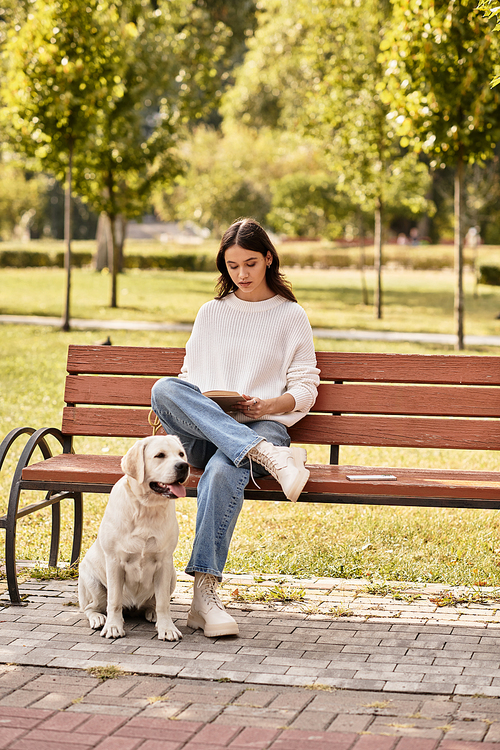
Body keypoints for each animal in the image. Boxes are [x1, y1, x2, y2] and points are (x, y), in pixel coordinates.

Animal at [78, 438, 189, 644]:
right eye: (160, 455)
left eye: (181, 454)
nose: (183, 466)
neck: (146, 508)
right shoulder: (114, 562)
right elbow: (114, 601)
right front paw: (113, 627)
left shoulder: (164, 563)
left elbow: (163, 603)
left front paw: (167, 628)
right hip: (92, 582)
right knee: (91, 607)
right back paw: (99, 618)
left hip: (172, 576)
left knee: (154, 602)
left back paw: (152, 613)